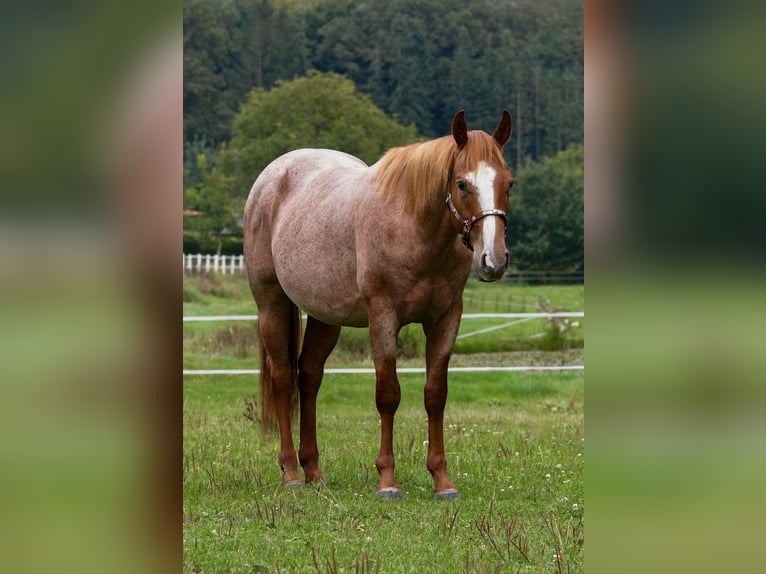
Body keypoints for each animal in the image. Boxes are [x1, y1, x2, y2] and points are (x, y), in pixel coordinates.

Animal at [243, 109, 512, 500]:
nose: (494, 260)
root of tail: (272, 176)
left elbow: (435, 395)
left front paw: (442, 480)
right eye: (462, 184)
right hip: (271, 304)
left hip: (326, 317)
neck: (414, 228)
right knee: (282, 378)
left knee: (308, 377)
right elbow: (388, 395)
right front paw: (387, 481)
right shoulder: (383, 316)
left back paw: (314, 471)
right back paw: (291, 473)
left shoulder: (446, 318)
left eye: (509, 183)